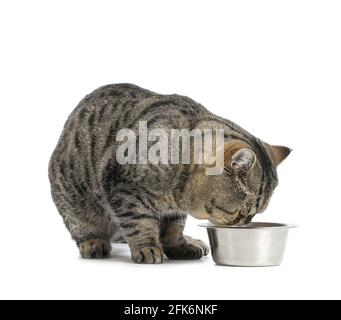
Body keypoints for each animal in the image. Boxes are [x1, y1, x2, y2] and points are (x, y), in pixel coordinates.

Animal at [49, 84, 290, 264]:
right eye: (242, 213)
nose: (245, 224)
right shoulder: (121, 186)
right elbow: (139, 222)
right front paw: (147, 246)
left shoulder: (175, 211)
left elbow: (174, 227)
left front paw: (179, 245)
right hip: (73, 197)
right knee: (83, 226)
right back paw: (93, 242)